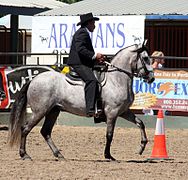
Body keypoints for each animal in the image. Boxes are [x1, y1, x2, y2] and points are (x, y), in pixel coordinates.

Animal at [8, 43, 154, 160]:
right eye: (146, 58)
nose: (152, 78)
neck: (116, 79)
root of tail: (33, 80)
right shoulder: (112, 113)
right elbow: (109, 134)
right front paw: (108, 155)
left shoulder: (123, 111)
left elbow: (140, 123)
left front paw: (142, 147)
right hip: (40, 111)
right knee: (25, 128)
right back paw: (24, 154)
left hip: (53, 111)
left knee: (45, 132)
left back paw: (58, 154)